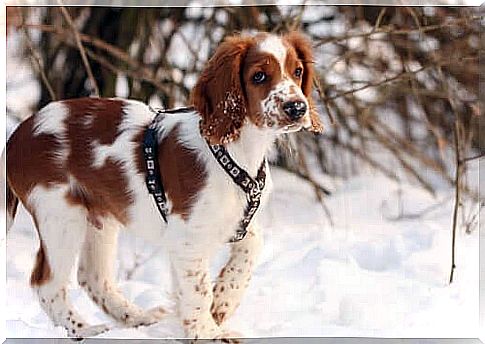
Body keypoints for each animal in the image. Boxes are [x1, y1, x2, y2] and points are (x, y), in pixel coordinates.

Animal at [4, 30, 322, 340]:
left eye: (297, 71)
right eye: (258, 76)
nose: (297, 107)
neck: (235, 151)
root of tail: (18, 135)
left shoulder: (236, 220)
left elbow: (252, 246)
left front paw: (223, 301)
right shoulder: (187, 236)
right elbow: (198, 288)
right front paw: (207, 332)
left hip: (99, 219)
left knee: (93, 277)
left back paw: (136, 318)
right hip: (61, 216)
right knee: (46, 282)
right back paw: (85, 331)